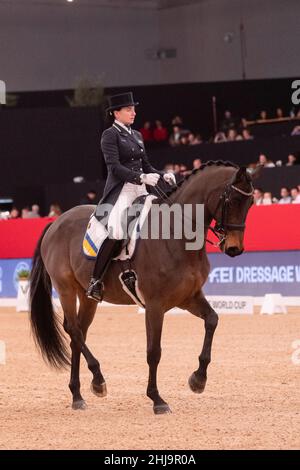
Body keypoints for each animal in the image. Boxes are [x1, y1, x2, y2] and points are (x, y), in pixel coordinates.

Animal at [29, 163, 260, 414]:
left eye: (251, 203)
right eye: (233, 200)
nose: (235, 249)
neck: (176, 233)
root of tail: (56, 222)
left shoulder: (189, 297)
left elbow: (212, 320)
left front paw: (198, 380)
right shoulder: (155, 305)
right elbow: (154, 351)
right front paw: (157, 399)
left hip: (88, 296)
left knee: (78, 334)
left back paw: (78, 395)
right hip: (66, 289)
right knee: (73, 329)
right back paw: (98, 380)